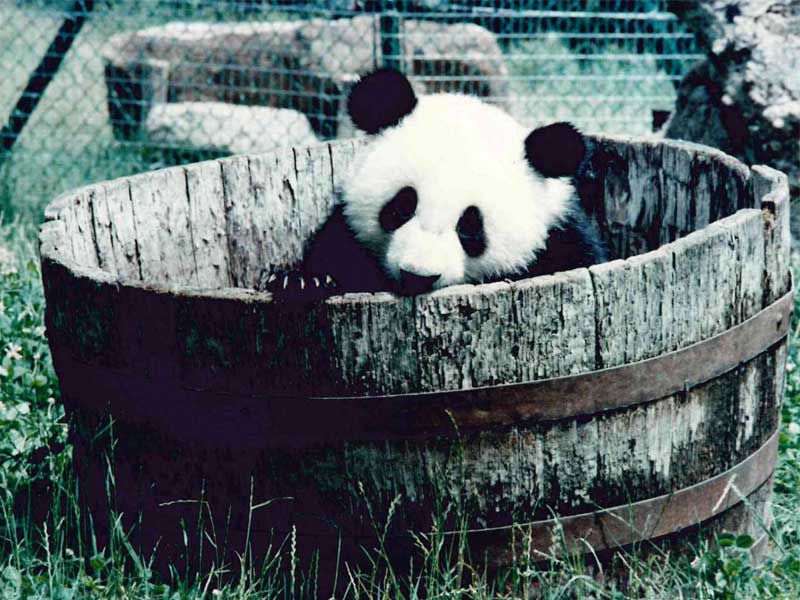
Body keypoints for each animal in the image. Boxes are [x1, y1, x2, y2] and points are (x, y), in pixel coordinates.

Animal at [262, 68, 608, 300]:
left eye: (470, 226)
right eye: (401, 207)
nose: (417, 277)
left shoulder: (561, 238)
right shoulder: (346, 227)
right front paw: (303, 281)